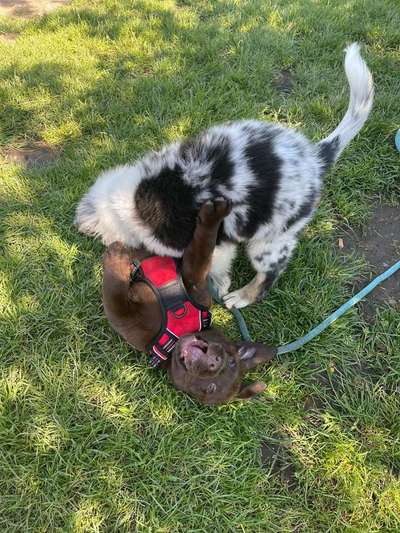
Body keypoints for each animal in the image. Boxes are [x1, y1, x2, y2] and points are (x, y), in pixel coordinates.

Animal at [76, 43, 374, 310]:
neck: (133, 198)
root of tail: (315, 158)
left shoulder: (214, 244)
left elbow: (215, 268)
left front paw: (219, 286)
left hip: (268, 241)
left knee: (270, 274)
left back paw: (241, 297)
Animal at [102, 198, 276, 404]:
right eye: (232, 361)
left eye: (210, 388)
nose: (214, 362)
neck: (177, 335)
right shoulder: (198, 289)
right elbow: (203, 250)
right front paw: (214, 215)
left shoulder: (126, 318)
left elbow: (114, 290)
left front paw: (115, 255)